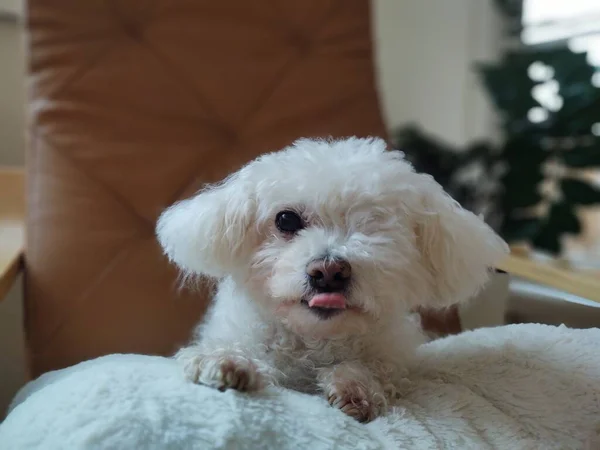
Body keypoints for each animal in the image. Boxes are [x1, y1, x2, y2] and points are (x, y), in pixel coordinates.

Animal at [156, 136, 506, 422]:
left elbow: (371, 370)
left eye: (375, 224)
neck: (315, 339)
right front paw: (226, 362)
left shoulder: (390, 362)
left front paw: (355, 386)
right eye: (286, 219)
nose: (329, 271)